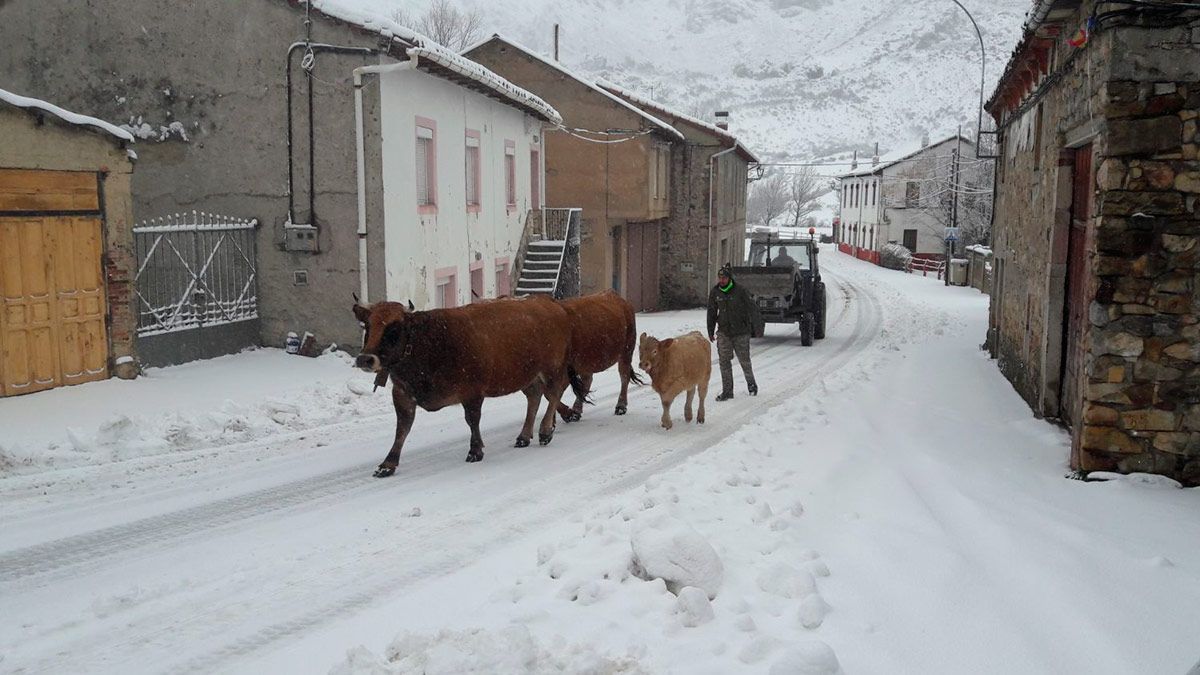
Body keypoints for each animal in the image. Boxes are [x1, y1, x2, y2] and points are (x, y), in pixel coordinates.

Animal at [350, 293, 585, 473]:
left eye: (394, 328)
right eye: (367, 325)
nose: (365, 359)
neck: (430, 344)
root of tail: (548, 301)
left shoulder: (472, 391)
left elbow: (472, 420)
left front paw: (475, 450)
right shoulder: (402, 394)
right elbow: (402, 429)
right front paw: (388, 463)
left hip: (553, 367)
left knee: (554, 393)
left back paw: (545, 431)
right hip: (528, 375)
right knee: (535, 397)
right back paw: (524, 436)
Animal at [554, 289, 643, 420]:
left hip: (626, 351)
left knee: (624, 376)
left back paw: (620, 406)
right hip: (587, 361)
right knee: (587, 380)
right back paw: (577, 410)